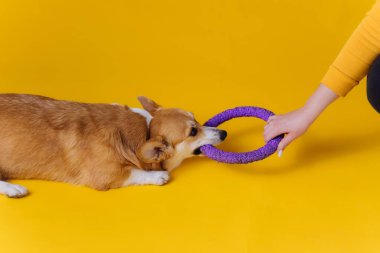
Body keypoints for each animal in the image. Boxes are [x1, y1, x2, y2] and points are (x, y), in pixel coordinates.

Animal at [0, 93, 226, 198]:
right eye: (193, 132)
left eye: (196, 119)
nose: (224, 133)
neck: (146, 130)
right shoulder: (105, 174)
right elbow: (133, 172)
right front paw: (158, 176)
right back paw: (13, 189)